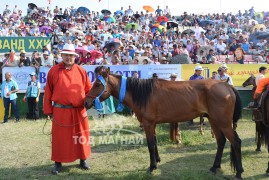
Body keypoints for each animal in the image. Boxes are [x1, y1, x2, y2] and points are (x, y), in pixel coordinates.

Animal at [85, 67, 243, 179]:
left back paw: (239, 172)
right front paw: (157, 161)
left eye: (97, 84)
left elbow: (150, 145)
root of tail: (226, 86)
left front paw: (151, 167)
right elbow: (154, 143)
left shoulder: (148, 124)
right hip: (214, 120)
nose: (86, 102)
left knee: (236, 142)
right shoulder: (152, 124)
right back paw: (214, 167)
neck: (143, 93)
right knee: (221, 141)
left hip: (223, 123)